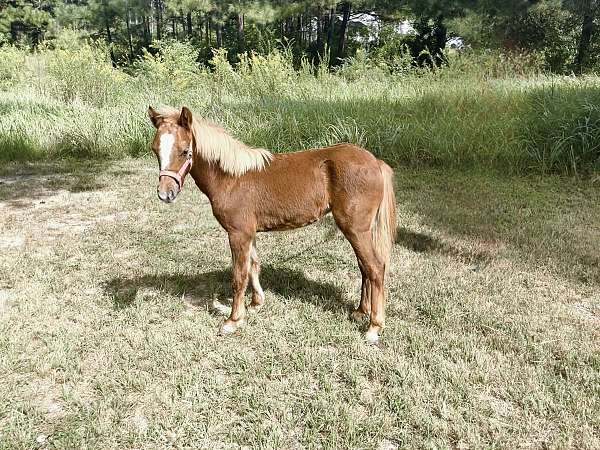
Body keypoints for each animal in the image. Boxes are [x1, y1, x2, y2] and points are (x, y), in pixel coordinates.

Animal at [148, 106, 396, 344]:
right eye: (155, 150)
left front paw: (232, 320)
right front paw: (256, 304)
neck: (231, 178)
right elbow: (253, 267)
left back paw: (374, 327)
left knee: (375, 268)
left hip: (355, 229)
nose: (165, 194)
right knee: (365, 268)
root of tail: (376, 162)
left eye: (185, 151)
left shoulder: (238, 234)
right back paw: (360, 311)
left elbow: (239, 276)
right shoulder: (249, 233)